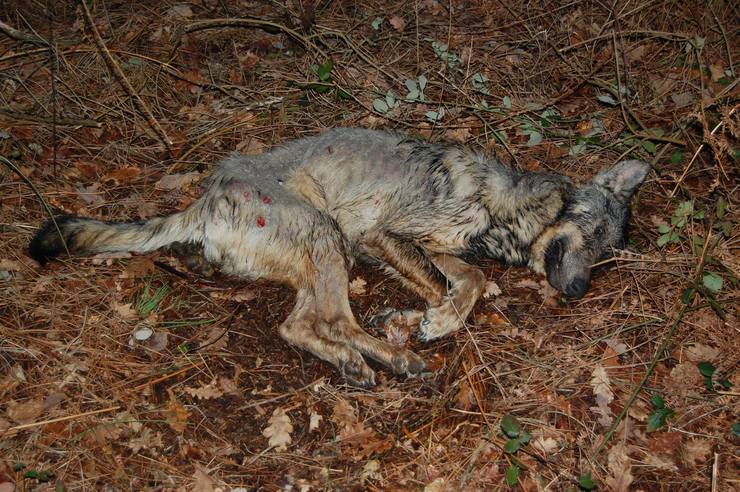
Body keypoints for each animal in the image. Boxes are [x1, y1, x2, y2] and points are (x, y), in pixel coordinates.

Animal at [30, 128, 648, 388]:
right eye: (591, 237)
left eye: (608, 253)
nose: (578, 292)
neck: (507, 205)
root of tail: (204, 200)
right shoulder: (385, 235)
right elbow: (457, 287)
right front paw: (435, 320)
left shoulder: (435, 249)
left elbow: (468, 279)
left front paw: (415, 316)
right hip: (327, 233)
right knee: (325, 321)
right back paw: (394, 359)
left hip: (314, 257)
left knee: (303, 325)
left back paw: (365, 358)